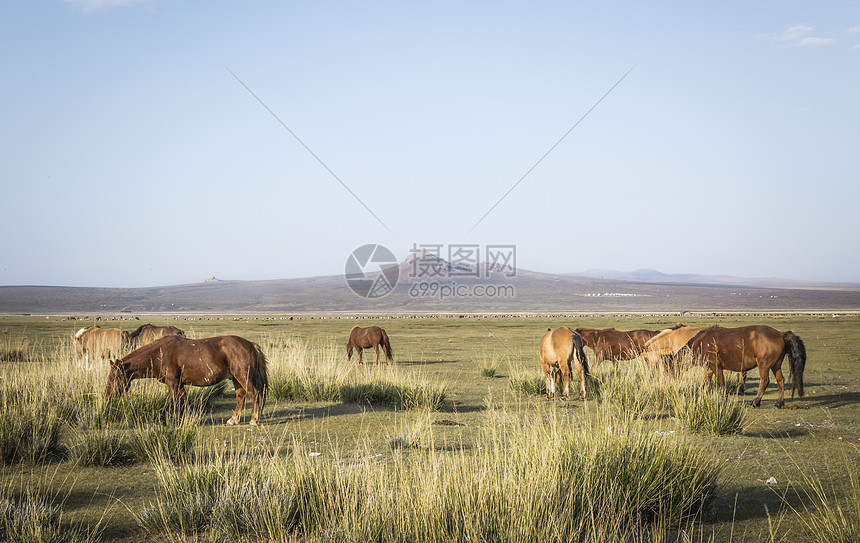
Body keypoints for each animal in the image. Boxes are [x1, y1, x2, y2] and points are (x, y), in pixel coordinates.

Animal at [107, 334, 268, 428]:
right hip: (236, 379)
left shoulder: (172, 383)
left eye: (113, 377)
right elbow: (185, 401)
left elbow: (175, 402)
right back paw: (233, 420)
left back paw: (254, 420)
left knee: (255, 394)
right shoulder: (179, 384)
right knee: (241, 397)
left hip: (243, 377)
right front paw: (189, 419)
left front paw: (174, 421)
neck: (159, 354)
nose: (107, 396)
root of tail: (250, 344)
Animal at [680, 326, 808, 410]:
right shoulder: (709, 368)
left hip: (764, 365)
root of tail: (781, 334)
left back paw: (755, 403)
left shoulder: (716, 367)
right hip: (775, 365)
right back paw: (779, 403)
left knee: (764, 381)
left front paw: (723, 399)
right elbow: (705, 384)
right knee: (780, 380)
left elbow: (721, 384)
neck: (703, 343)